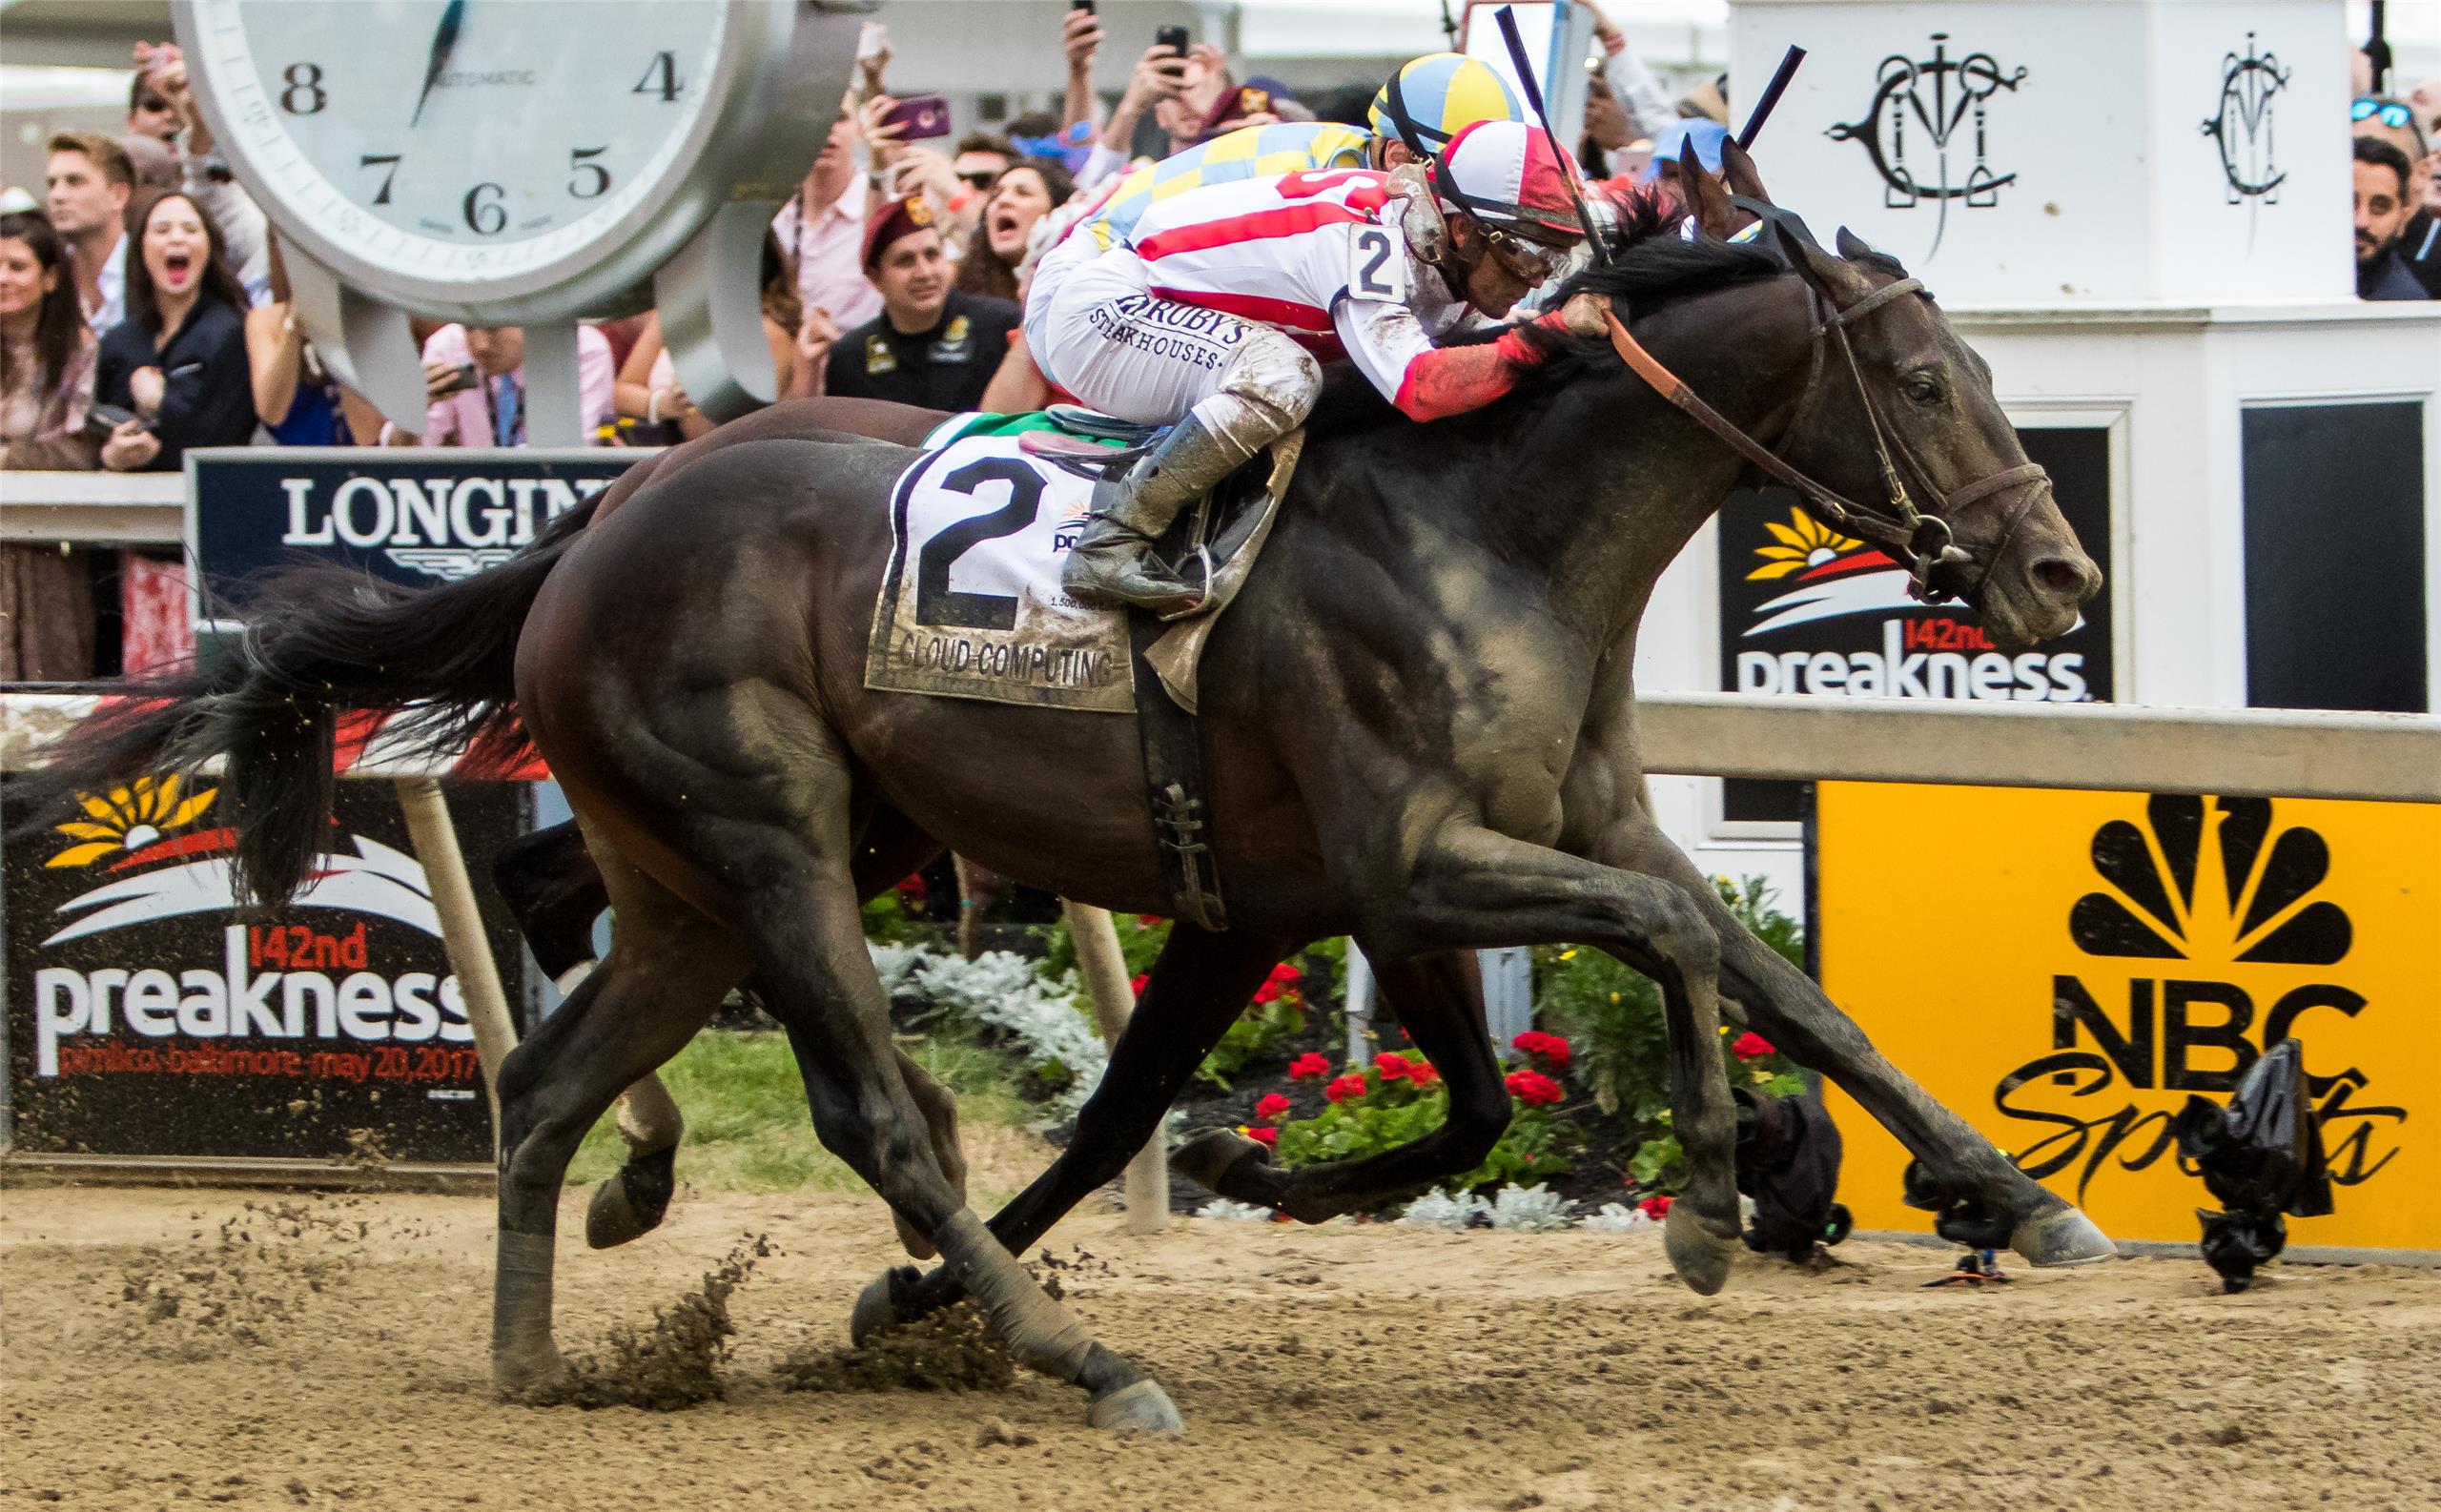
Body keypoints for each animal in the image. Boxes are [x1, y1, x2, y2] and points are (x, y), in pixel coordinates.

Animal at [29, 191, 2108, 1434]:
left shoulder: (1413, 868)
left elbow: (1762, 994)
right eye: (1923, 378)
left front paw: (2009, 1196)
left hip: (703, 871)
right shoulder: (1406, 869)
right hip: (774, 833)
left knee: (550, 1054)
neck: (1487, 530)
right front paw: (1701, 1199)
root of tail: (602, 520)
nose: (2059, 578)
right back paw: (1076, 1355)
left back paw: (561, 1333)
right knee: (869, 1103)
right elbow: (1659, 961)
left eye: (1986, 373)